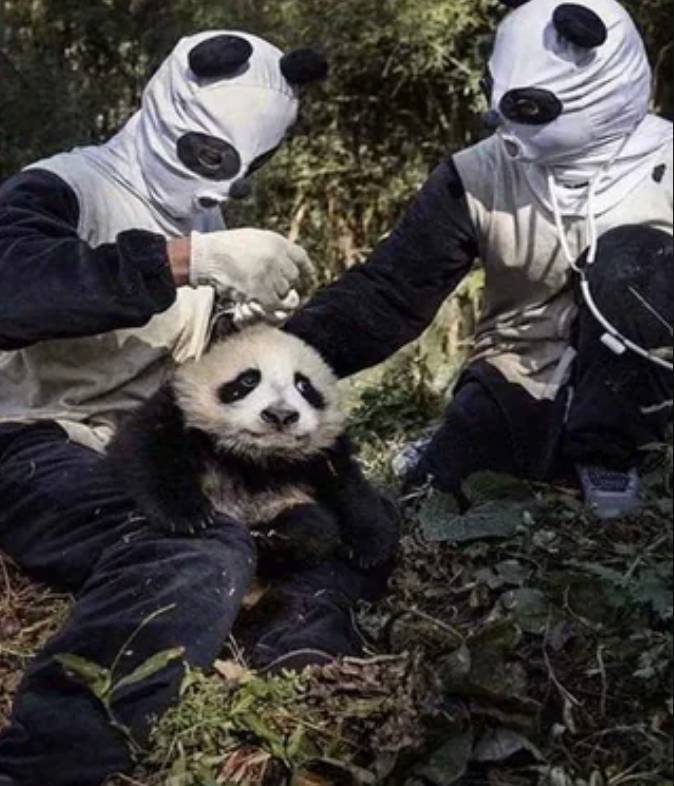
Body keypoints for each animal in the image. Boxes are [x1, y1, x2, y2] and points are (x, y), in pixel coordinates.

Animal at [108, 326, 400, 573]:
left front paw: (369, 547)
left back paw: (274, 540)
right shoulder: (178, 410)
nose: (280, 415)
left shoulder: (323, 452)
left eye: (304, 386)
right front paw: (187, 516)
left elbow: (347, 485)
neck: (255, 456)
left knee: (313, 526)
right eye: (248, 380)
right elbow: (148, 447)